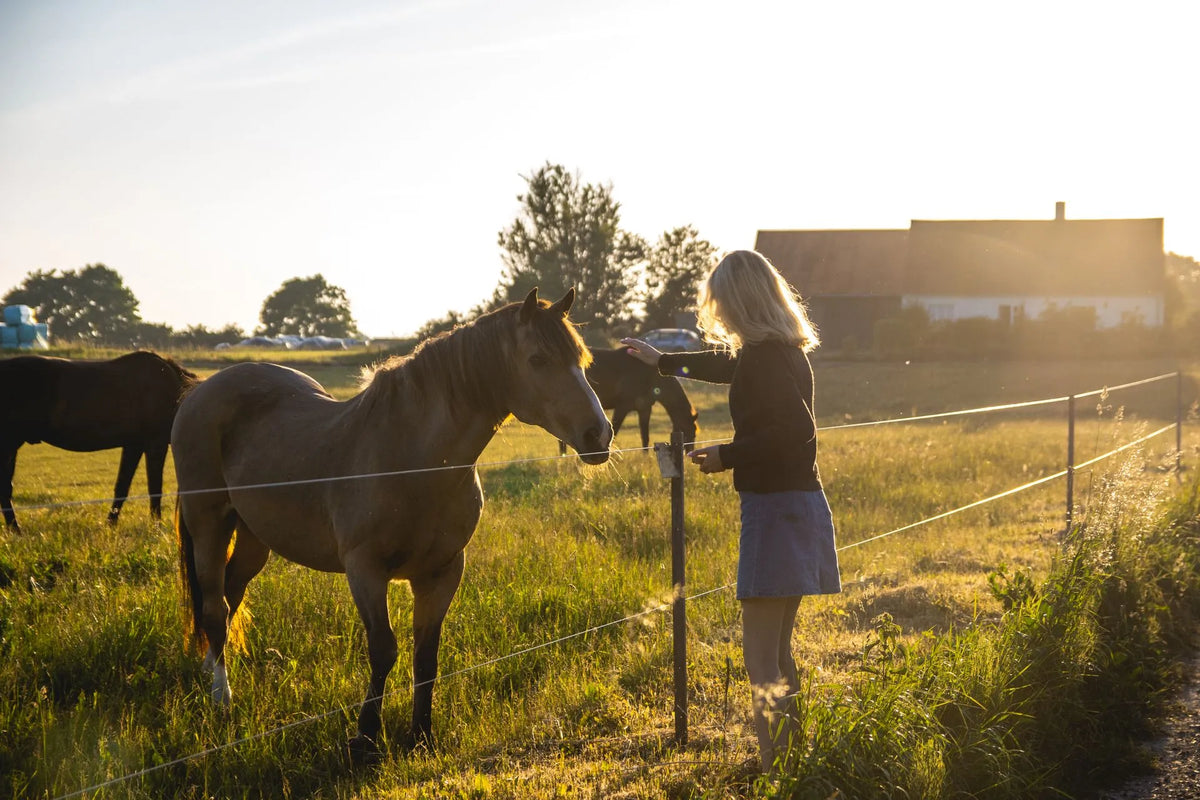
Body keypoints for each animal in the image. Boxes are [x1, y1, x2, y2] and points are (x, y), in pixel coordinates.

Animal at [1, 350, 199, 532]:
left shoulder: (133, 445)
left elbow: (122, 486)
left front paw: (111, 524)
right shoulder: (155, 444)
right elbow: (155, 489)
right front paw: (156, 527)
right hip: (9, 446)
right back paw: (16, 530)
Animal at [171, 288, 612, 760]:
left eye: (582, 360)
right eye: (537, 360)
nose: (599, 435)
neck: (415, 460)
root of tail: (199, 390)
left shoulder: (442, 572)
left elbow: (426, 657)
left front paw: (421, 735)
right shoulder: (365, 570)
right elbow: (383, 650)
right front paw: (365, 738)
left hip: (255, 535)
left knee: (229, 594)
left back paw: (210, 669)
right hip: (209, 524)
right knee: (215, 608)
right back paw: (222, 698)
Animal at [558, 346, 699, 455]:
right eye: (688, 432)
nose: (689, 453)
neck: (648, 374)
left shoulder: (645, 408)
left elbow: (645, 436)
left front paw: (645, 457)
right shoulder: (622, 407)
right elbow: (614, 432)